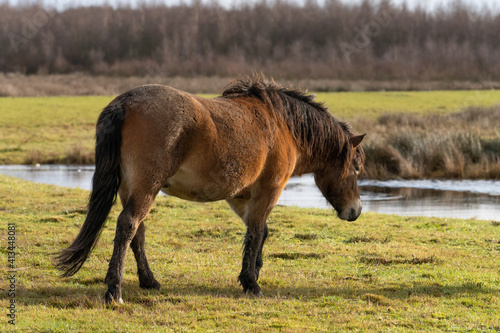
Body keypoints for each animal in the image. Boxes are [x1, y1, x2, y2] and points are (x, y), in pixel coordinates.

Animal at [56, 74, 366, 302]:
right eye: (356, 168)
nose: (356, 211)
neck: (282, 125)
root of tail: (124, 103)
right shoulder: (268, 191)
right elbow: (256, 232)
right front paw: (252, 284)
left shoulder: (241, 197)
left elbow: (259, 233)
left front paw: (252, 273)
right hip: (146, 188)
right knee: (128, 226)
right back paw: (114, 291)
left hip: (130, 189)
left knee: (137, 233)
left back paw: (149, 281)